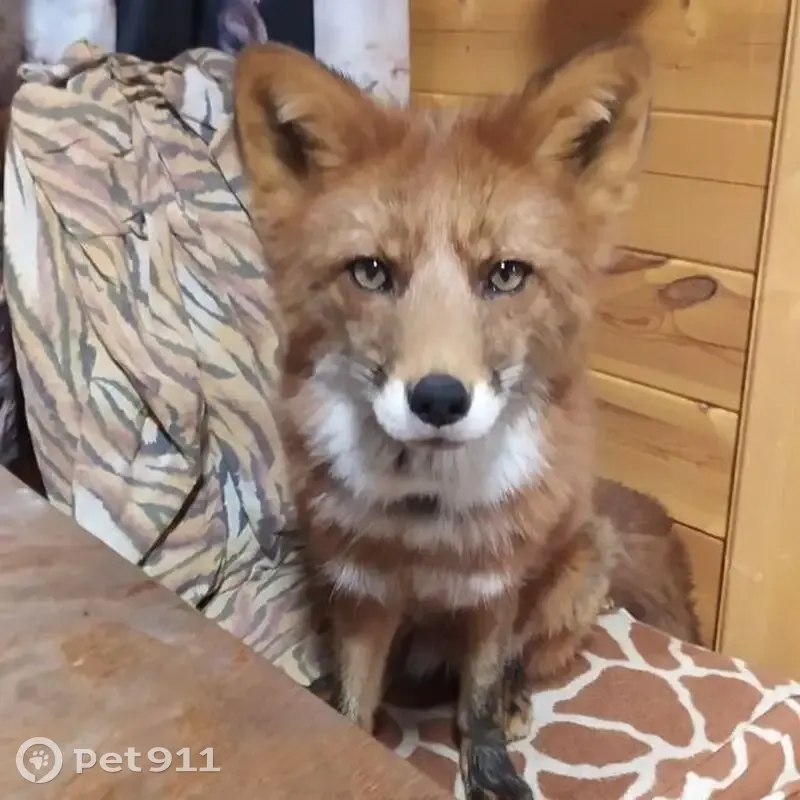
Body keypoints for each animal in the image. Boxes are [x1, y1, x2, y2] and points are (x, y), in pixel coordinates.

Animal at [234, 38, 665, 799]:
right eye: (372, 272)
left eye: (506, 274)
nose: (438, 399)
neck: (425, 517)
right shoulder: (363, 590)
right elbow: (355, 701)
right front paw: (344, 730)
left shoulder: (494, 590)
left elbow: (479, 698)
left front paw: (489, 768)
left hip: (576, 570)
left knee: (522, 658)